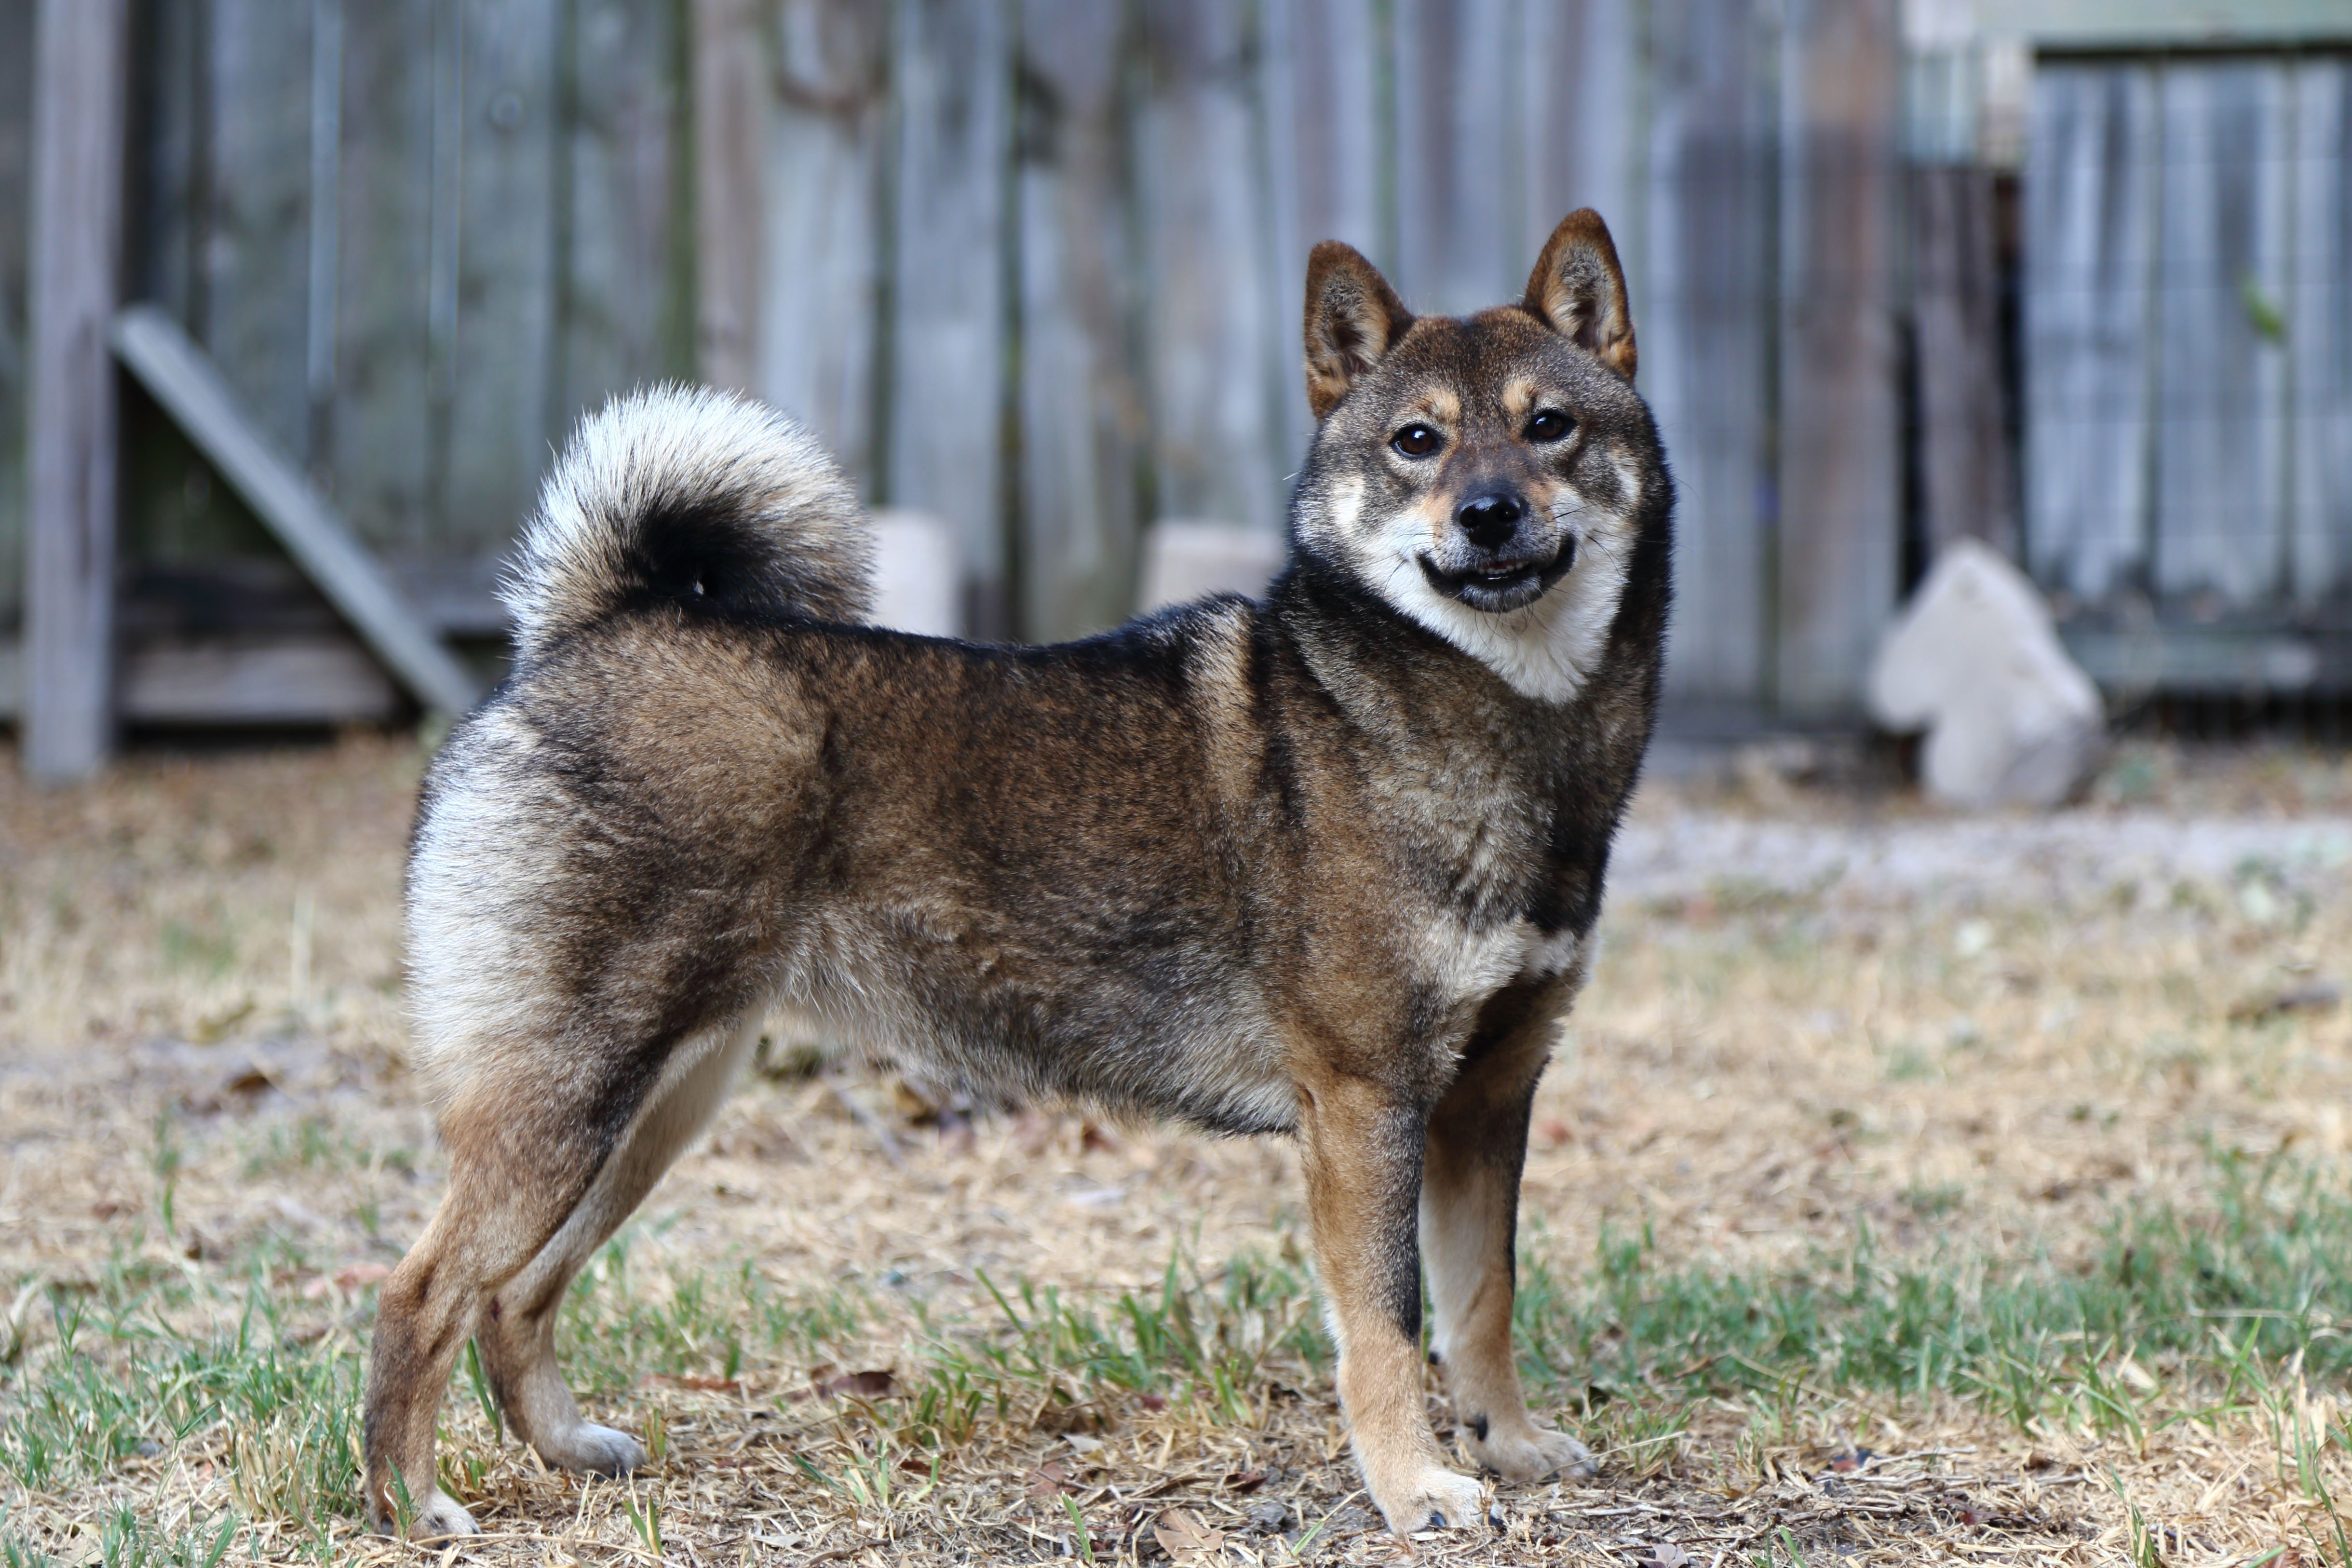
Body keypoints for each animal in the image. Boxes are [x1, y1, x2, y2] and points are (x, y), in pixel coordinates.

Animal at [362, 205, 1675, 1532]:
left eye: (1547, 426)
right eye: (1418, 441)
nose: (1489, 513)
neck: (1490, 721)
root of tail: (597, 626)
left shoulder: (1486, 1099)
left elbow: (1484, 1299)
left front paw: (1509, 1445)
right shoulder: (1366, 1107)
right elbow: (1389, 1324)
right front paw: (1415, 1486)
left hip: (652, 1108)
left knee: (513, 1296)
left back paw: (564, 1448)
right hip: (571, 1100)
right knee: (418, 1292)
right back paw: (411, 1502)